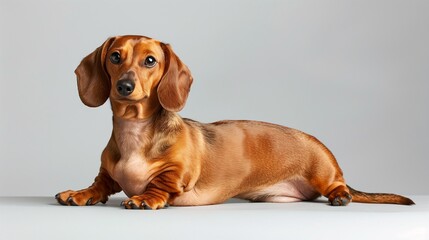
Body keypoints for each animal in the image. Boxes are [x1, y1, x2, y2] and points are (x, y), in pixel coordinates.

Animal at [55, 34, 412, 209]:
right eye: (115, 56)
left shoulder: (178, 174)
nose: (125, 87)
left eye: (150, 61)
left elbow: (161, 184)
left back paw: (341, 196)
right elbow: (100, 184)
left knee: (339, 187)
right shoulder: (107, 174)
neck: (135, 132)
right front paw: (80, 192)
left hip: (324, 173)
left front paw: (145, 198)